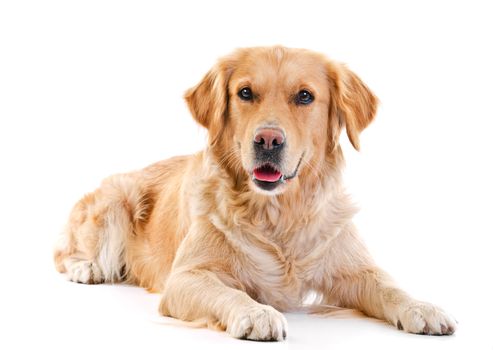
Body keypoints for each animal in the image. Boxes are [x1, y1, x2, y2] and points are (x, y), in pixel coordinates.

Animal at [52, 45, 454, 340]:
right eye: (245, 92)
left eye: (305, 96)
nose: (268, 140)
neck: (277, 213)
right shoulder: (185, 277)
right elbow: (228, 291)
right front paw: (256, 312)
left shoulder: (353, 269)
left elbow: (389, 286)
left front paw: (422, 307)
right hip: (115, 202)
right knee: (64, 253)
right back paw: (86, 267)